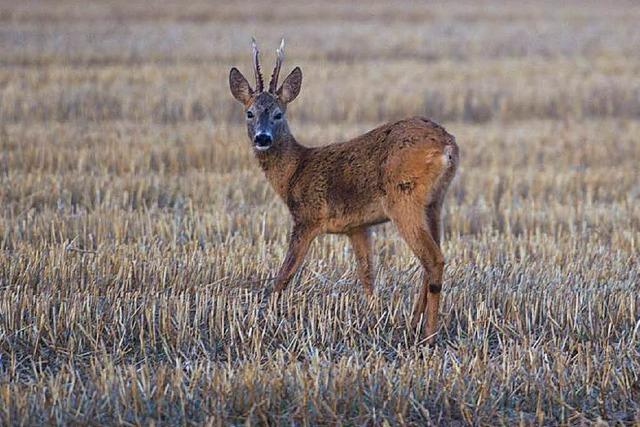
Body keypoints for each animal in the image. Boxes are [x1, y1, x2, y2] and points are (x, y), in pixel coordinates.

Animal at [230, 38, 460, 342]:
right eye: (250, 112)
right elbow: (367, 275)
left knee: (433, 259)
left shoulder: (307, 217)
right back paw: (412, 324)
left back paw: (428, 336)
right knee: (430, 259)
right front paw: (373, 316)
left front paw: (264, 316)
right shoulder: (357, 227)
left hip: (403, 196)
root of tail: (447, 146)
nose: (262, 138)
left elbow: (284, 274)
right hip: (435, 201)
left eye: (279, 114)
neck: (295, 171)